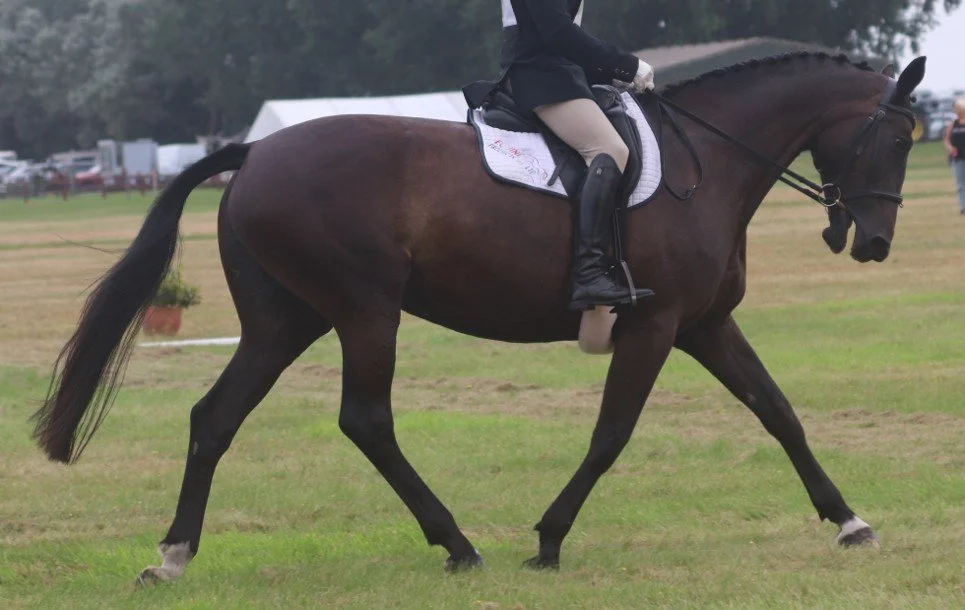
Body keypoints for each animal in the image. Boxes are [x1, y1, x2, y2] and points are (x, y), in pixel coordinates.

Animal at [31, 52, 926, 582]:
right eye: (894, 139)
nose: (876, 242)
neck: (706, 164)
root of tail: (253, 152)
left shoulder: (703, 325)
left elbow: (778, 412)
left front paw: (848, 520)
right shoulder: (656, 325)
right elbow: (611, 435)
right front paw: (549, 539)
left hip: (286, 320)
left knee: (215, 417)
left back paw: (174, 554)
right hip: (363, 309)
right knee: (365, 420)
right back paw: (456, 544)